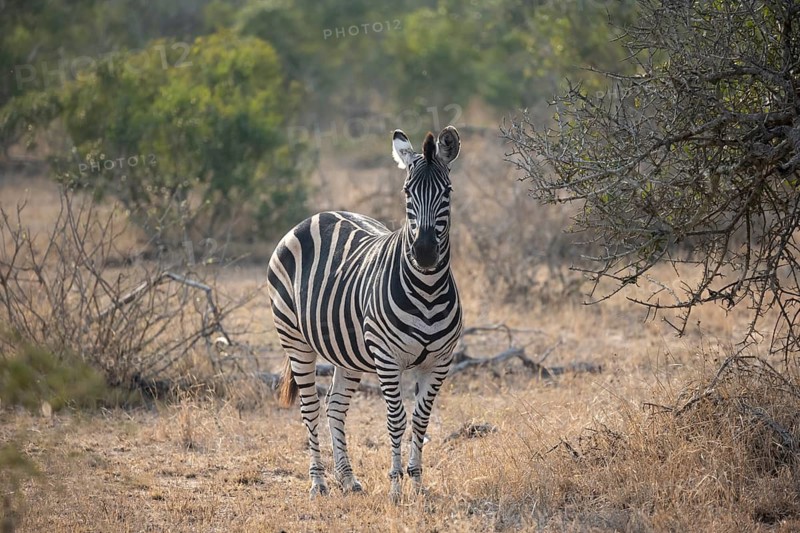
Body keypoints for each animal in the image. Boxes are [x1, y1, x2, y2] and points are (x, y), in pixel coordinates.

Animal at [267, 126, 463, 500]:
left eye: (447, 191)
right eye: (407, 192)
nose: (425, 252)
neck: (428, 289)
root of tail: (319, 215)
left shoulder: (439, 361)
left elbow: (421, 419)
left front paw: (418, 484)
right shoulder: (387, 358)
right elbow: (397, 419)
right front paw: (396, 488)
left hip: (346, 352)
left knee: (335, 406)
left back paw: (347, 478)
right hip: (295, 339)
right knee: (310, 408)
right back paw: (318, 482)